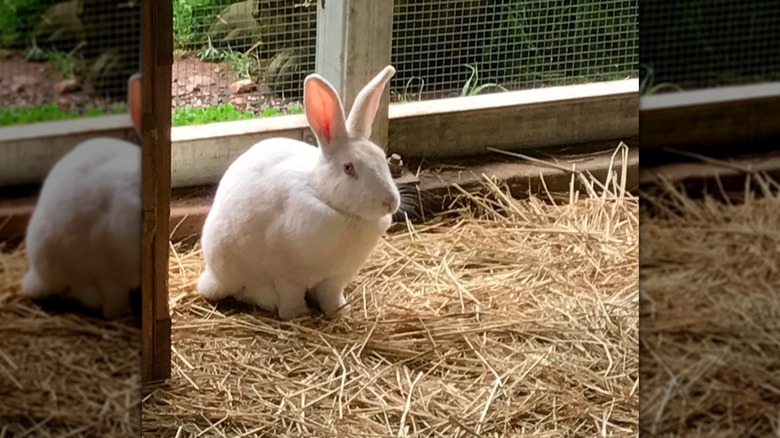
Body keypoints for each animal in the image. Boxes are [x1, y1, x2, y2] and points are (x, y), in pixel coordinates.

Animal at [198, 65, 400, 320]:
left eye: (382, 158)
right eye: (348, 168)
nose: (390, 202)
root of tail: (212, 277)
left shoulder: (335, 278)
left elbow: (331, 296)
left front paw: (340, 311)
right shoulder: (287, 276)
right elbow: (291, 294)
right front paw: (298, 314)